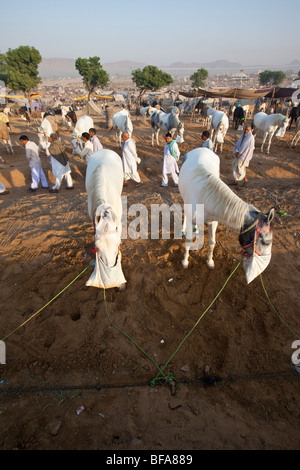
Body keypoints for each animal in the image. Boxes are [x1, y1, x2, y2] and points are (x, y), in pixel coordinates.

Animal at [178, 149, 274, 284]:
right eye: (266, 243)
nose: (263, 268)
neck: (205, 198)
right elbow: (188, 241)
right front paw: (185, 262)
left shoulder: (213, 221)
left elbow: (212, 242)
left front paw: (210, 261)